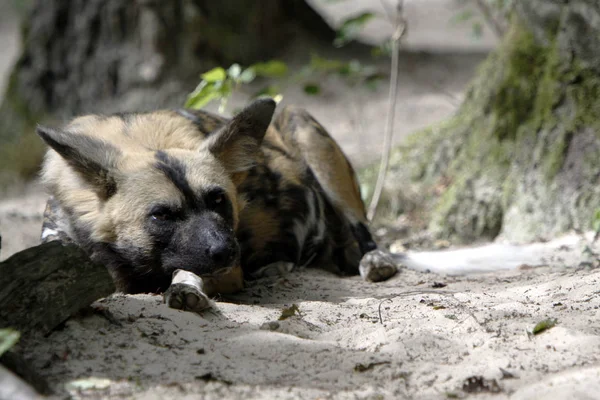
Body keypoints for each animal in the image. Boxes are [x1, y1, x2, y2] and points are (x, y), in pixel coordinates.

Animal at [36, 99, 394, 310]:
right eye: (161, 215)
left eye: (218, 199)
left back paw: (375, 261)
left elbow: (182, 269)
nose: (226, 251)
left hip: (308, 134)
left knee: (364, 231)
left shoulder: (225, 271)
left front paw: (184, 289)